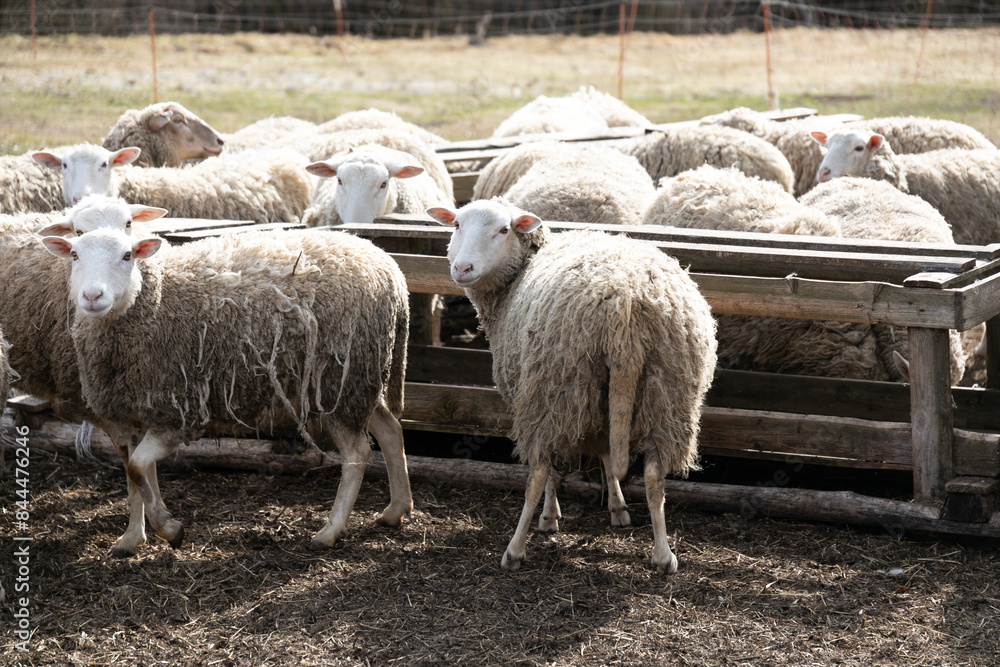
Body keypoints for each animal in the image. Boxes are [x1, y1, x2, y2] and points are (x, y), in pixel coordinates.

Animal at [42, 226, 412, 557]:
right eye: (74, 254)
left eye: (127, 255)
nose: (92, 297)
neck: (152, 302)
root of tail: (391, 269)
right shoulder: (132, 414)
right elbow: (137, 476)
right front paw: (133, 538)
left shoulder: (178, 412)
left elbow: (136, 467)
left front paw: (170, 529)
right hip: (358, 381)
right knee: (390, 429)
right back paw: (396, 509)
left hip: (341, 380)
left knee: (357, 452)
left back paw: (330, 531)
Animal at [427, 198, 717, 574]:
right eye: (456, 225)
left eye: (504, 229)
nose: (462, 268)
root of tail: (626, 302)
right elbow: (607, 452)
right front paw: (618, 509)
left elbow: (552, 469)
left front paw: (551, 517)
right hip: (667, 390)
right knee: (654, 474)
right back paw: (664, 556)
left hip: (554, 386)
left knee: (539, 468)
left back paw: (515, 549)